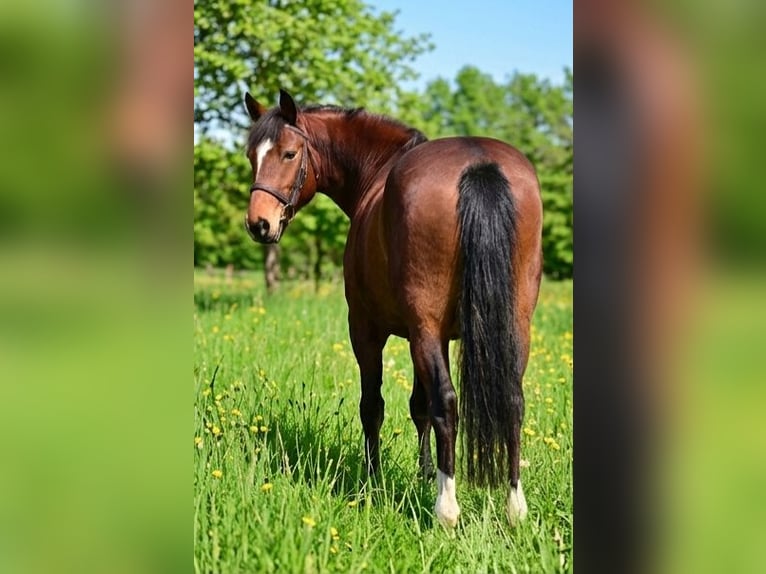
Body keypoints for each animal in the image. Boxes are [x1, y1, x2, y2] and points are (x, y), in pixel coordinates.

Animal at [243, 89, 543, 528]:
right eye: (252, 155)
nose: (258, 224)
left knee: (446, 403)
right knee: (511, 400)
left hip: (422, 329)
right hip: (512, 324)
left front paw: (373, 478)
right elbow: (419, 406)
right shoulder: (439, 334)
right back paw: (514, 506)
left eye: (289, 153)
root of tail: (478, 165)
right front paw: (424, 473)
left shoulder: (368, 329)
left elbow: (374, 406)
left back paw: (446, 509)